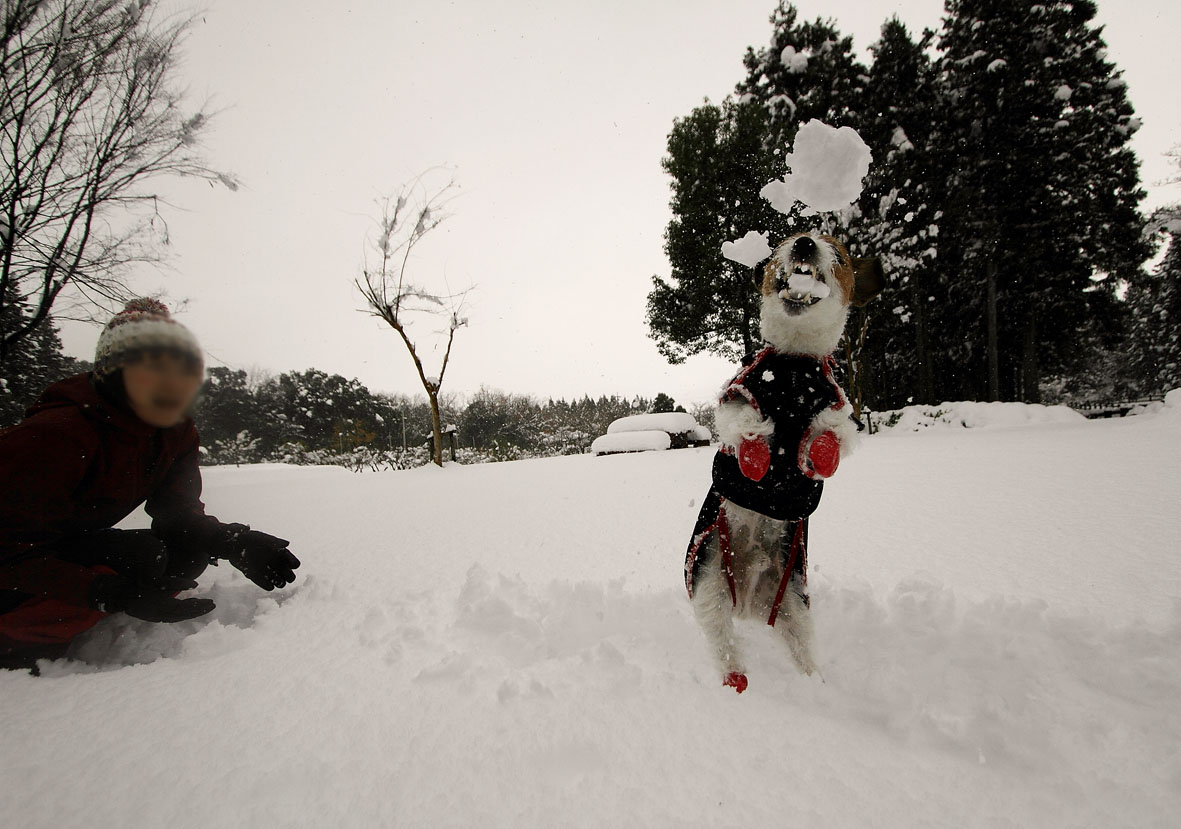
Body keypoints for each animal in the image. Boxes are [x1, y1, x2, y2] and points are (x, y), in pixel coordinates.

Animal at [684, 230, 878, 689]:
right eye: (783, 244)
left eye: (838, 253)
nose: (805, 243)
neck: (793, 365)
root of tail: (747, 601)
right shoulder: (740, 391)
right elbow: (741, 422)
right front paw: (756, 452)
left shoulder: (836, 403)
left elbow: (835, 432)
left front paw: (821, 454)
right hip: (710, 580)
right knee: (725, 645)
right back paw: (736, 682)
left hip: (793, 602)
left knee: (804, 650)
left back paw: (816, 685)